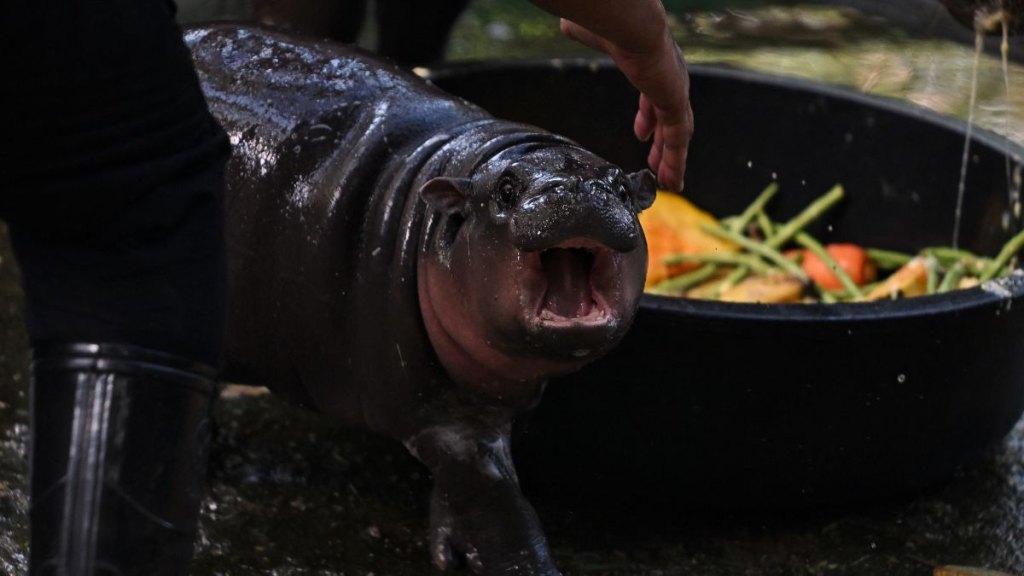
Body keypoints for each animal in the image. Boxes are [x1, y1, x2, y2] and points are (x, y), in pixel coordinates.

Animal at [186, 24, 654, 575]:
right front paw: (526, 564)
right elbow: (495, 505)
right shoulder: (443, 417)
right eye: (506, 189)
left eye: (621, 188)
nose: (577, 191)